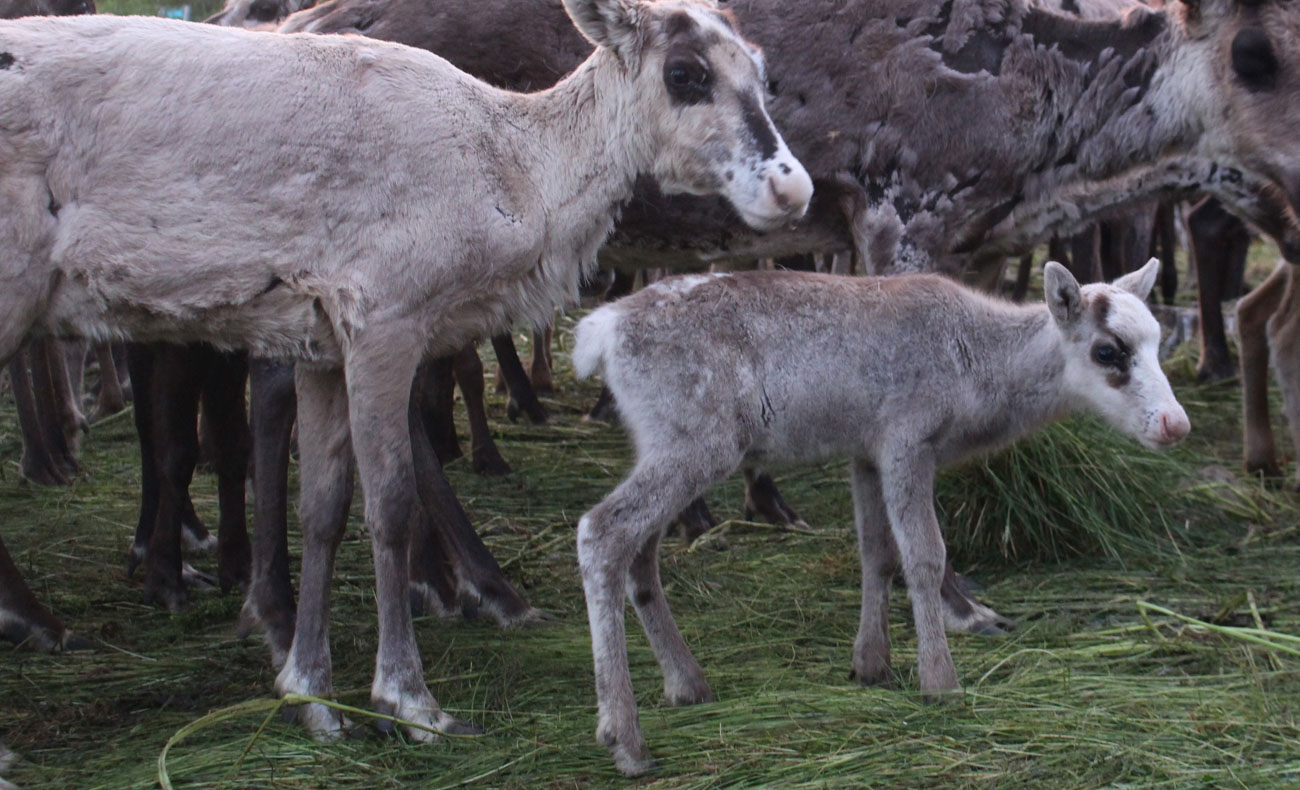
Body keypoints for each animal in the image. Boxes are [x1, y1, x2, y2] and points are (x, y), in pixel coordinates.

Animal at [574, 257, 1190, 769]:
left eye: (1159, 342)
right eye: (1108, 350)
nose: (1176, 424)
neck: (980, 372)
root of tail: (598, 332)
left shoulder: (865, 452)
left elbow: (877, 552)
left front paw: (871, 664)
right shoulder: (906, 440)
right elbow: (924, 555)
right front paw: (940, 680)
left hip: (663, 443)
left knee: (641, 552)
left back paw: (686, 683)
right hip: (699, 442)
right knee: (601, 531)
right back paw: (625, 737)